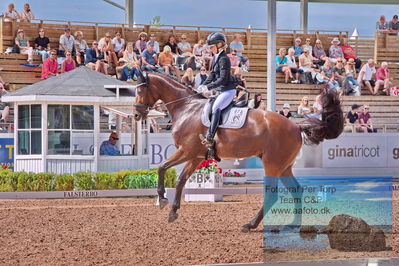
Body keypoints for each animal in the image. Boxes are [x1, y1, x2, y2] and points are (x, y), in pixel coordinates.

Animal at [134, 71, 344, 232]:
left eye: (140, 90)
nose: (136, 114)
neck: (186, 108)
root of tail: (296, 126)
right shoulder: (195, 156)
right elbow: (180, 180)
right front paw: (173, 211)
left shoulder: (186, 151)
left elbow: (161, 167)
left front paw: (162, 199)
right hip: (284, 167)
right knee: (296, 190)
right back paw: (293, 225)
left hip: (272, 164)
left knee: (273, 194)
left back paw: (250, 225)